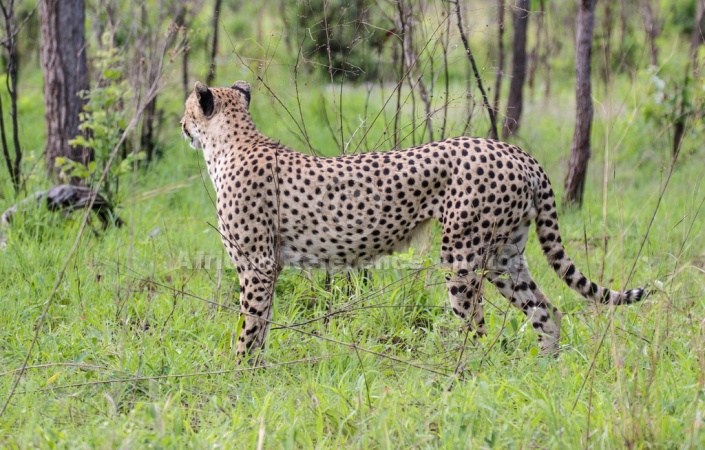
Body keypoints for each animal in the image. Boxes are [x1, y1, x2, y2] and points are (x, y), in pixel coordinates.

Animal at [180, 81, 644, 358]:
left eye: (188, 109)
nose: (181, 123)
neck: (232, 143)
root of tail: (513, 150)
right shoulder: (268, 267)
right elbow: (262, 325)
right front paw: (254, 370)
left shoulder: (256, 266)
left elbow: (250, 324)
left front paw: (240, 374)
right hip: (504, 256)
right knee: (547, 311)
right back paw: (545, 369)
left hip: (462, 253)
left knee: (475, 325)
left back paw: (464, 376)